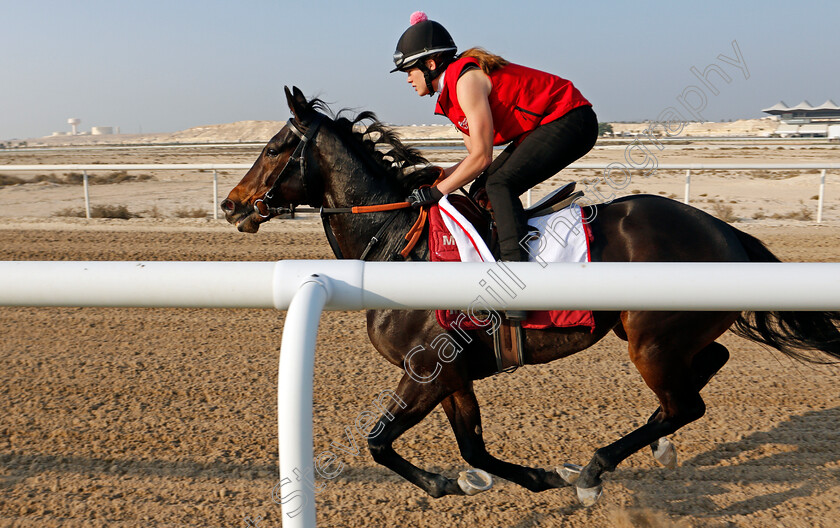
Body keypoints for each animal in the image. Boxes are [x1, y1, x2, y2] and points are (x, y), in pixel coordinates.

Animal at [221, 87, 840, 508]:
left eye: (275, 147)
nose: (231, 204)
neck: (399, 244)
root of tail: (725, 231)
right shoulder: (453, 373)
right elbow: (470, 447)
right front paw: (516, 477)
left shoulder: (425, 369)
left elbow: (379, 442)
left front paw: (458, 482)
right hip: (660, 332)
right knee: (706, 367)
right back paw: (655, 447)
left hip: (651, 339)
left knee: (686, 403)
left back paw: (594, 471)